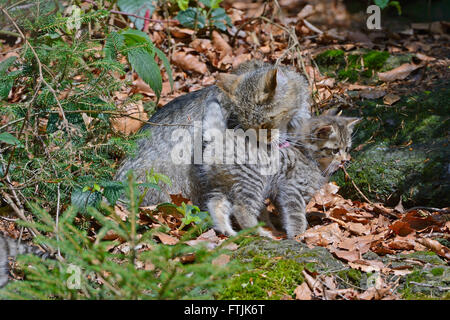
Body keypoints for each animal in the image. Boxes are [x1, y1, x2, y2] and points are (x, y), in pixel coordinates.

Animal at [200, 101, 358, 239]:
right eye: (335, 150)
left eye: (347, 149)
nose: (344, 160)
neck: (307, 155)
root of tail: (221, 138)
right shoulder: (293, 189)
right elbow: (296, 215)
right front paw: (298, 235)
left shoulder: (281, 195)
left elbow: (286, 213)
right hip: (252, 182)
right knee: (241, 209)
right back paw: (260, 233)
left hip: (224, 184)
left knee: (215, 204)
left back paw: (226, 230)